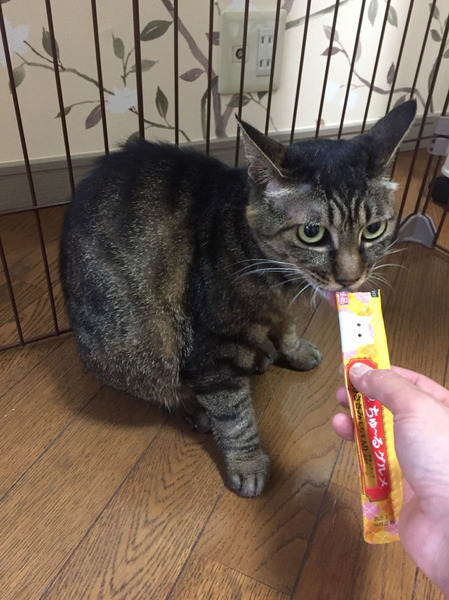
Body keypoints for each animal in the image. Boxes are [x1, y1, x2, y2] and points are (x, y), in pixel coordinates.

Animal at [60, 99, 416, 497]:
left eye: (374, 229)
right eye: (312, 232)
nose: (351, 278)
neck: (278, 277)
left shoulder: (282, 311)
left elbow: (287, 327)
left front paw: (294, 349)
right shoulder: (213, 347)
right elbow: (234, 415)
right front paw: (247, 463)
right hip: (142, 341)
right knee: (159, 386)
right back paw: (194, 406)